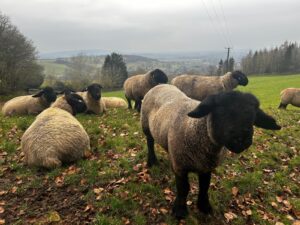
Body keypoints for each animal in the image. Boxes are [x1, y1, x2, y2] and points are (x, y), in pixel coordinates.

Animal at [141, 84, 282, 218]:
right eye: (222, 113)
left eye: (253, 117)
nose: (242, 140)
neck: (194, 129)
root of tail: (161, 84)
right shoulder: (180, 166)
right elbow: (183, 189)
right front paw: (180, 211)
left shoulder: (206, 167)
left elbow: (205, 186)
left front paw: (204, 207)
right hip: (145, 125)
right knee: (150, 142)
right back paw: (152, 161)